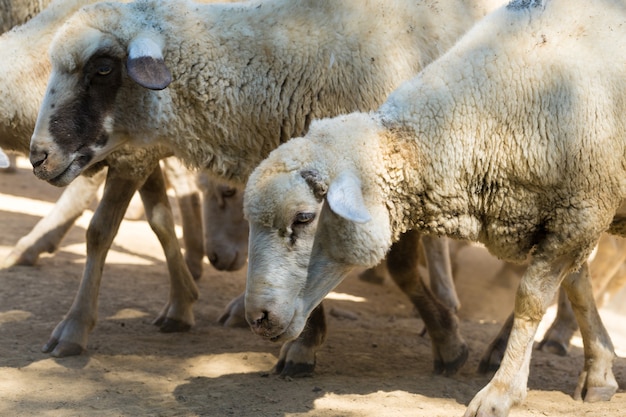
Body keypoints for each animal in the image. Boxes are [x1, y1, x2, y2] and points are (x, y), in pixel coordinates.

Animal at [26, 0, 510, 374]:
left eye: (103, 68)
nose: (37, 156)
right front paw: (304, 344)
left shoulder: (386, 179)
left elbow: (402, 268)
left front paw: (448, 343)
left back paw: (497, 346)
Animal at [243, 0, 624, 412]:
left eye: (303, 217)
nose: (258, 317)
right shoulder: (569, 217)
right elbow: (579, 288)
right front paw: (599, 373)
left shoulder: (579, 213)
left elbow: (532, 299)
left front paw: (500, 393)